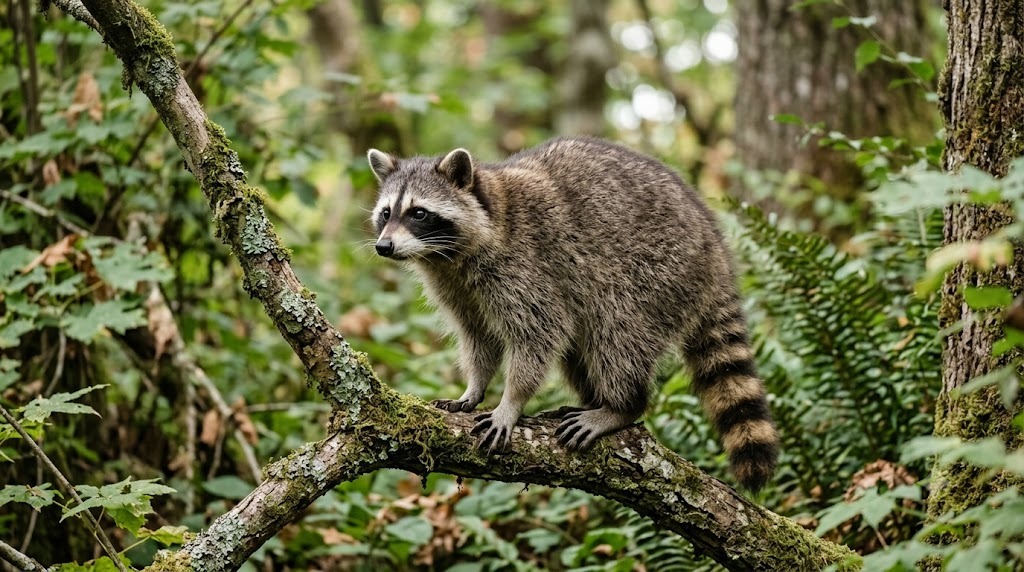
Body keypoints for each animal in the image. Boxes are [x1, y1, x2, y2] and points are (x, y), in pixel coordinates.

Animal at [367, 137, 779, 491]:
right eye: (386, 213)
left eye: (419, 213)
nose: (383, 247)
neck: (448, 255)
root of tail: (716, 248)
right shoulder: (457, 287)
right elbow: (478, 337)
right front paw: (475, 387)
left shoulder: (524, 265)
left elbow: (539, 334)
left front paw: (510, 402)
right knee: (581, 350)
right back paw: (595, 400)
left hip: (658, 274)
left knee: (616, 337)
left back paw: (621, 406)